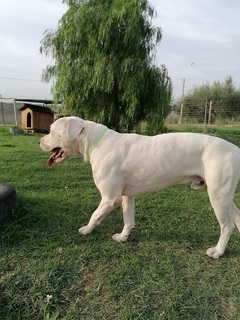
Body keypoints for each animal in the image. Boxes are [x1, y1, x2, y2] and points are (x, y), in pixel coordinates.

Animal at [39, 116, 240, 258]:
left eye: (52, 131)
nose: (39, 141)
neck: (95, 141)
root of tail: (236, 149)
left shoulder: (110, 199)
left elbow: (95, 215)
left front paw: (87, 230)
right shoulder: (127, 196)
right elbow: (128, 219)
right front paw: (123, 237)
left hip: (217, 196)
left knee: (227, 227)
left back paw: (217, 252)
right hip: (223, 197)